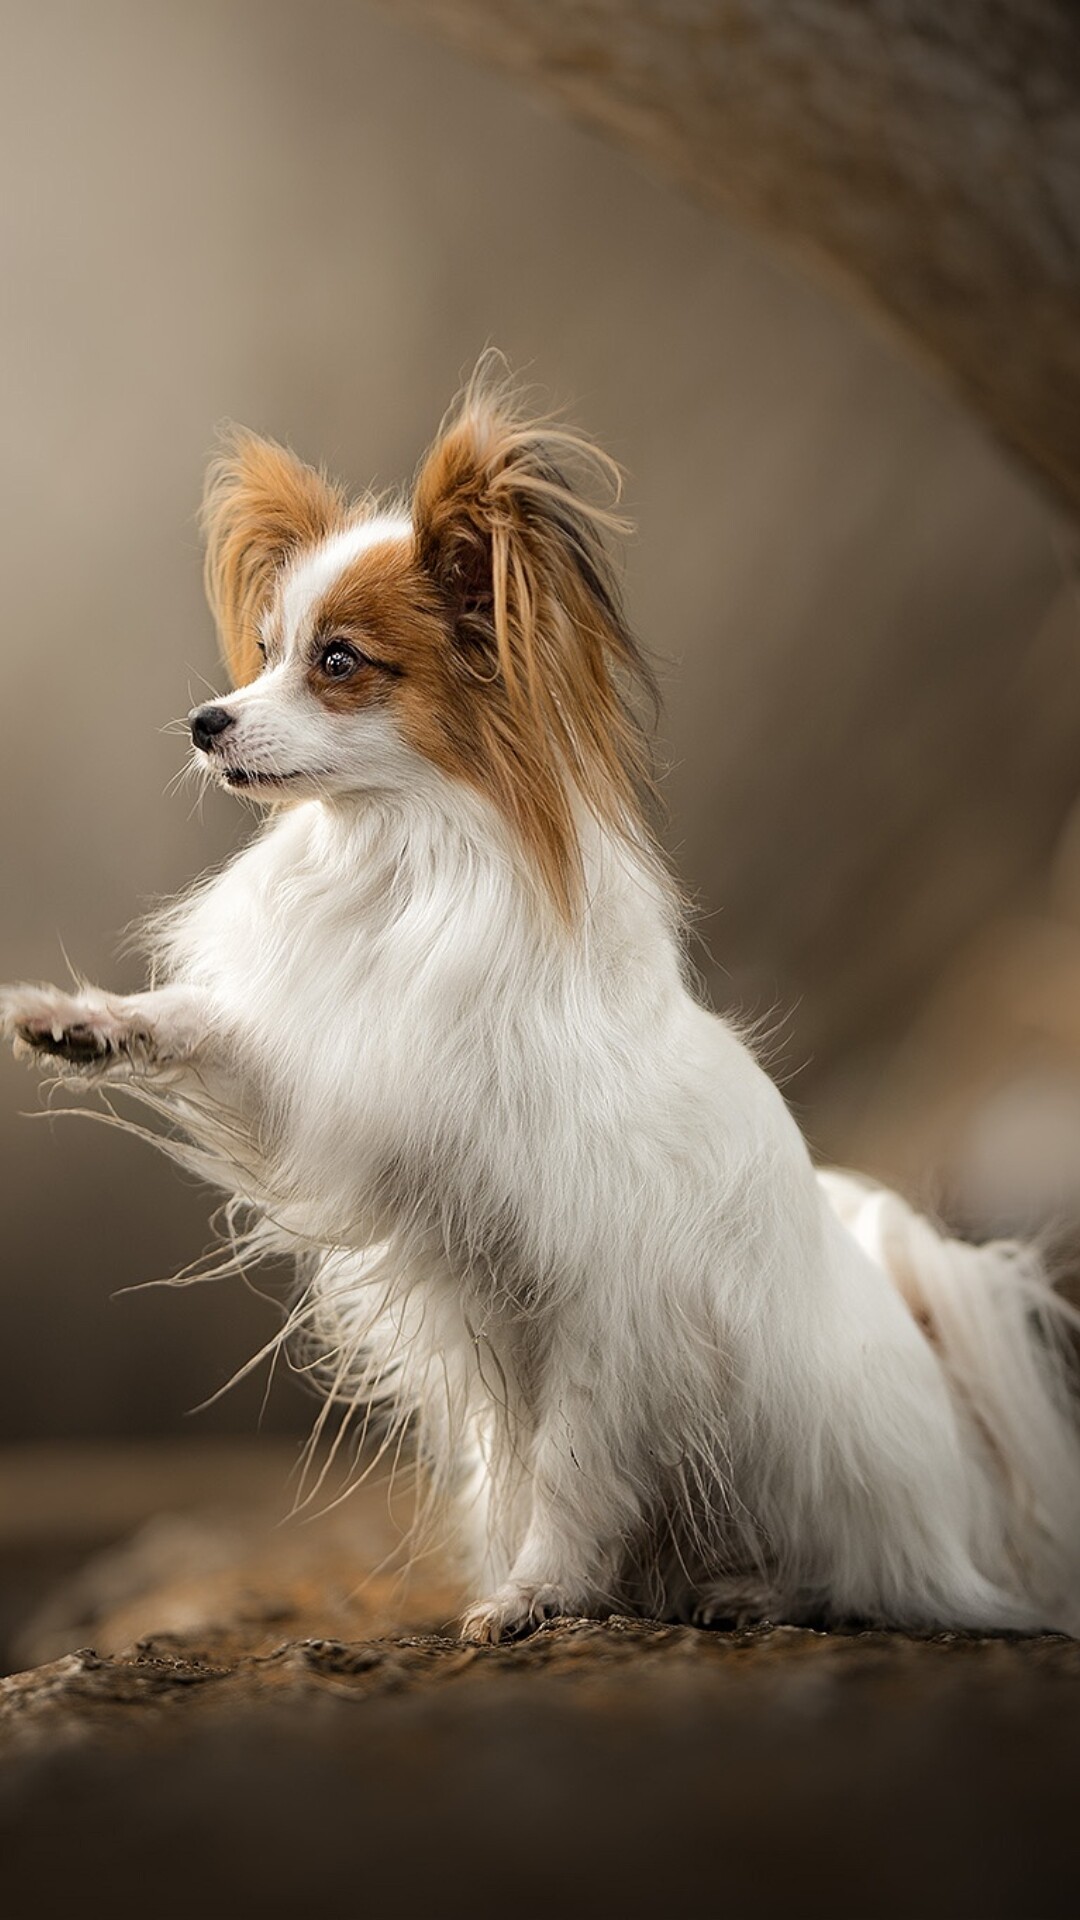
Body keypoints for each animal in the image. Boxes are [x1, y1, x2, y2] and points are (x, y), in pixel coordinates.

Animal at [2, 366, 1076, 1643]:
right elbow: (213, 1026)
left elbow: (573, 1464)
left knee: (856, 1576)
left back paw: (751, 1589)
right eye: (263, 650)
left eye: (340, 663)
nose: (205, 722)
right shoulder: (344, 1087)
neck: (405, 863)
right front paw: (84, 1024)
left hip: (800, 1453)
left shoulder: (598, 1298)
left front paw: (537, 1593)